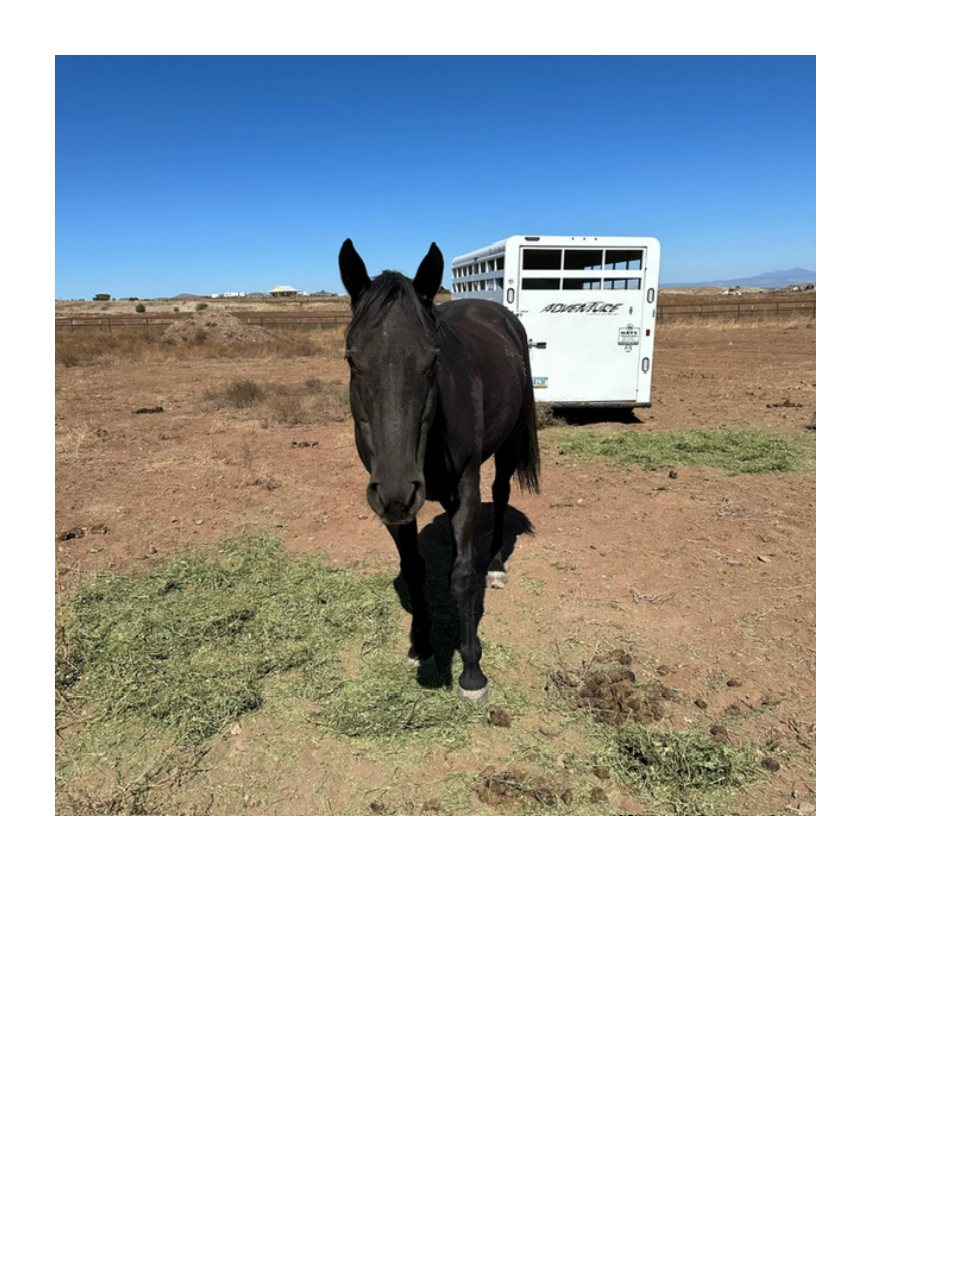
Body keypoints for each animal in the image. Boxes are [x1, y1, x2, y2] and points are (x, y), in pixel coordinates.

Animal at [339, 239, 540, 704]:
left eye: (432, 362)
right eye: (352, 360)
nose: (396, 490)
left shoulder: (464, 489)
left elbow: (463, 578)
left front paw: (472, 672)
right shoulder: (396, 505)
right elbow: (414, 570)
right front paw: (422, 645)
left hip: (506, 447)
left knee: (500, 495)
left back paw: (496, 564)